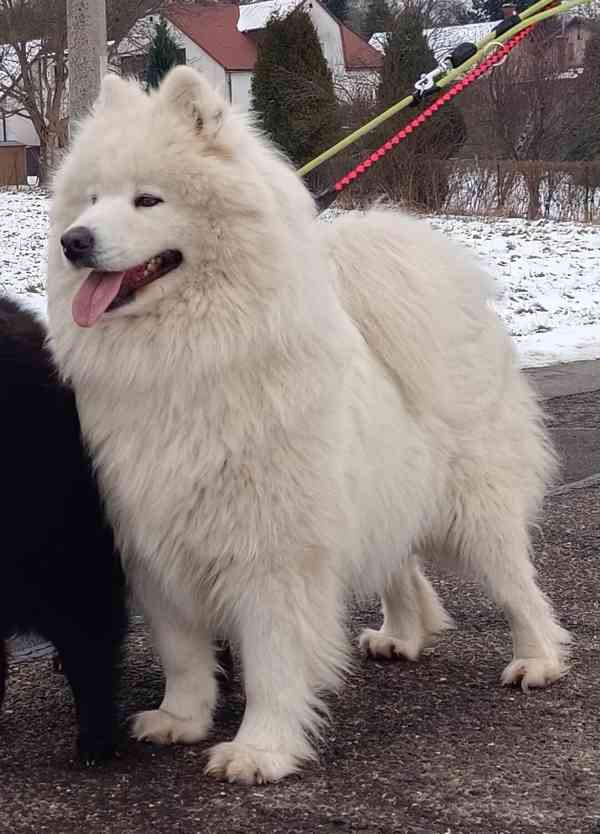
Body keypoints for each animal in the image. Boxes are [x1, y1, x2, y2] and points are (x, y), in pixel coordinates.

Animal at [47, 68, 568, 784]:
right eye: (91, 200)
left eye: (147, 200)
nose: (75, 241)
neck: (189, 358)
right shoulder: (154, 542)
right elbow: (182, 651)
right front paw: (181, 719)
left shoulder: (273, 549)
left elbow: (272, 660)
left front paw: (259, 749)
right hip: (381, 498)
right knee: (402, 569)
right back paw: (400, 636)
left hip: (476, 515)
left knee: (520, 588)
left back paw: (537, 660)